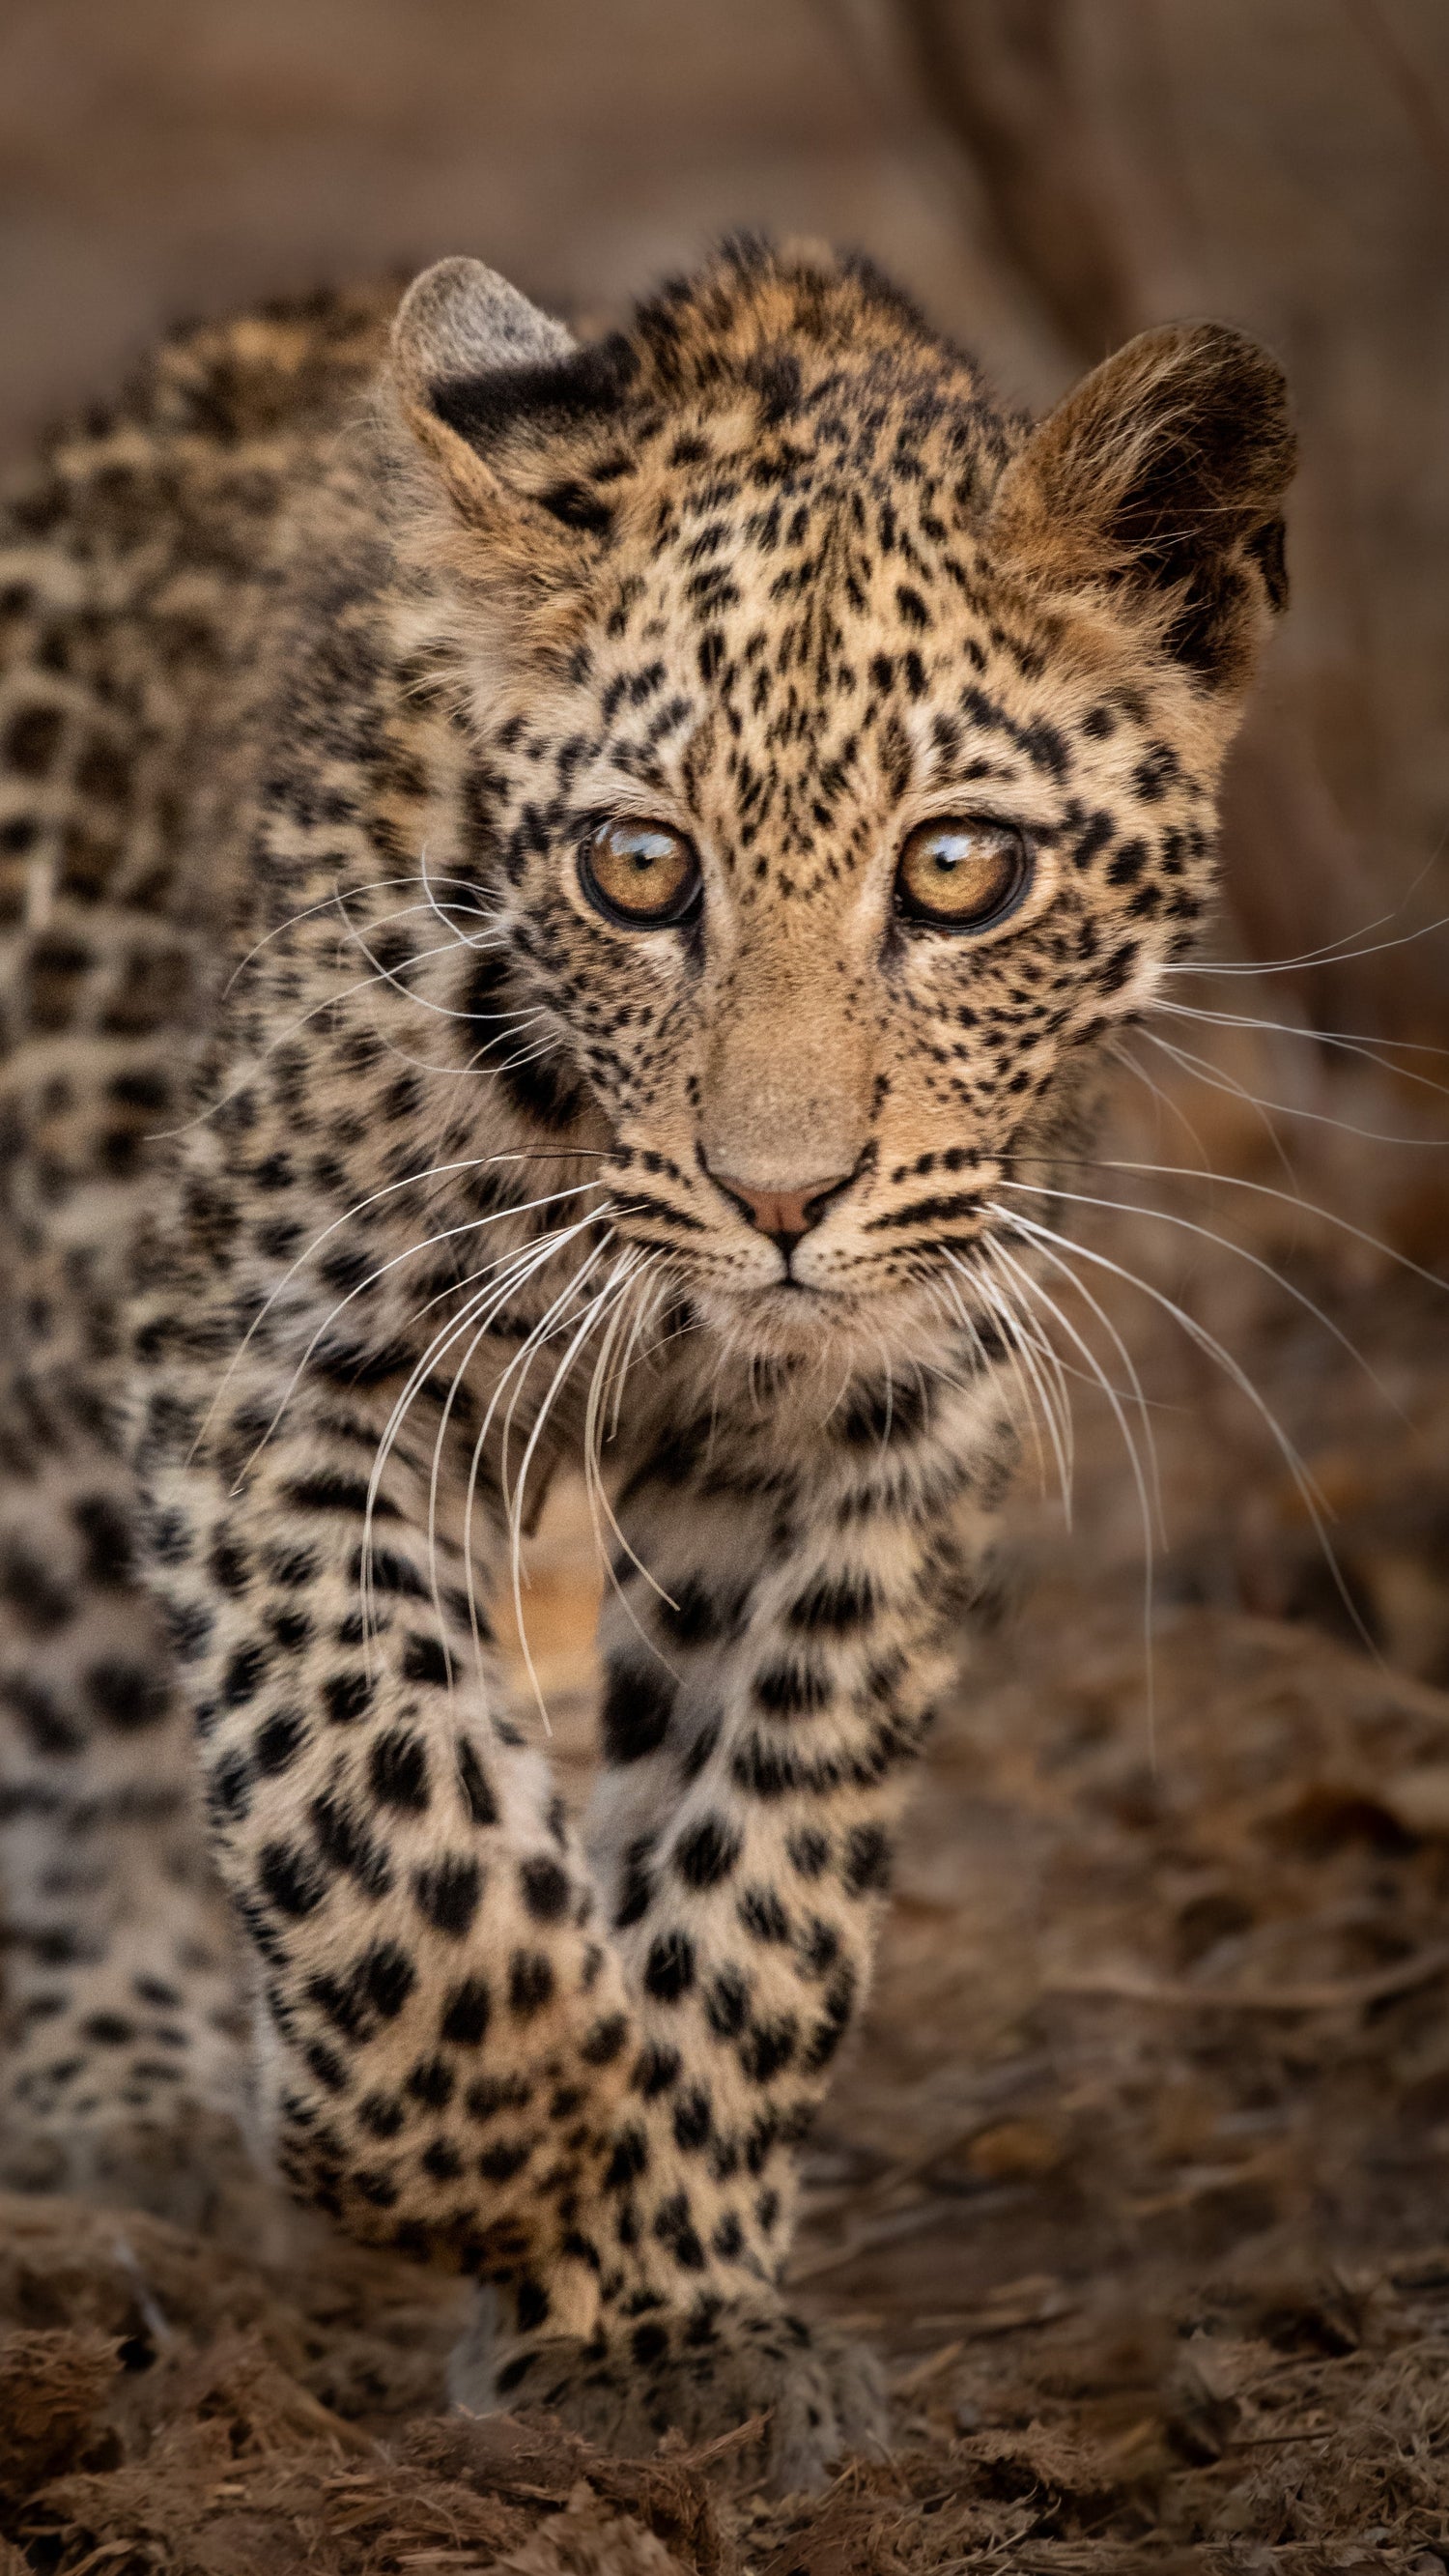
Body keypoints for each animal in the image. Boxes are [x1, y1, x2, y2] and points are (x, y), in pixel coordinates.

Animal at [0, 234, 1293, 2491]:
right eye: (638, 867)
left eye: (961, 869)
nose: (782, 1201)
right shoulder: (281, 1359)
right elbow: (379, 1786)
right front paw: (472, 2143)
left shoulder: (868, 1443)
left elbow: (759, 1869)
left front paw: (660, 2312)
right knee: (81, 1717)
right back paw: (122, 2090)